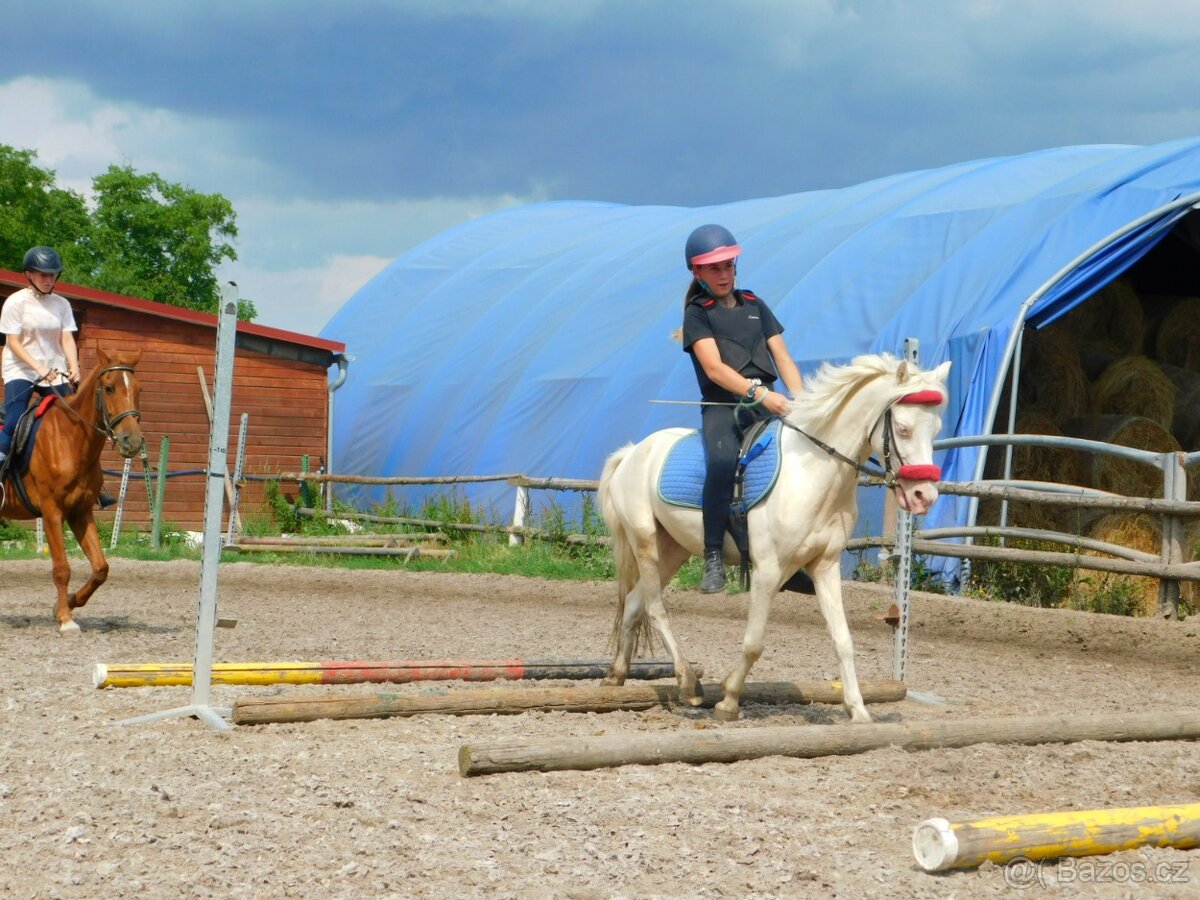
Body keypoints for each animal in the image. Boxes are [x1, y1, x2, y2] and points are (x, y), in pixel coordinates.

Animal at [0, 348, 145, 634]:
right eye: (109, 388)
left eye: (138, 389)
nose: (132, 441)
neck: (70, 439)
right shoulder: (52, 512)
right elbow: (61, 569)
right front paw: (66, 620)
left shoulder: (80, 512)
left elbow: (101, 568)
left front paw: (66, 604)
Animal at [598, 352, 951, 722]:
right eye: (903, 429)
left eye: (936, 430)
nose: (924, 497)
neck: (813, 472)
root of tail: (632, 452)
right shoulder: (768, 569)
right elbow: (754, 643)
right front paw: (728, 700)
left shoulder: (825, 566)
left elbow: (843, 640)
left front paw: (858, 710)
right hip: (645, 542)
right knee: (654, 607)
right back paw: (688, 683)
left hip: (673, 548)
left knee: (634, 602)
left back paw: (617, 676)